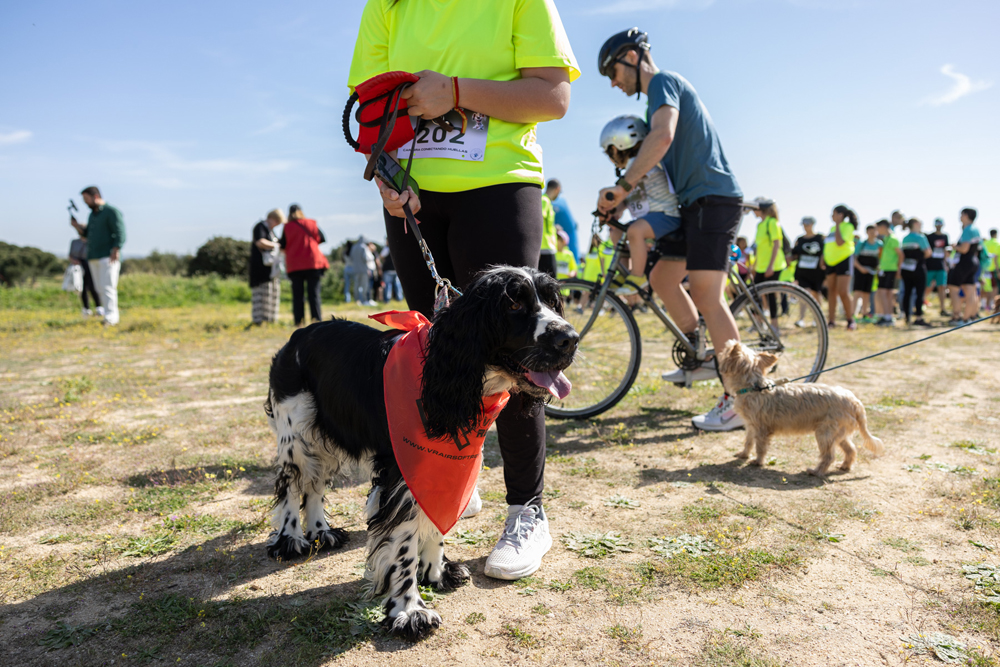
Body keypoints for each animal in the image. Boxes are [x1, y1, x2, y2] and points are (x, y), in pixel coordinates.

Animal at [720, 342, 884, 478]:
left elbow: (760, 447)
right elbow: (748, 442)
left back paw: (816, 472)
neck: (754, 387)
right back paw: (845, 466)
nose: (722, 347)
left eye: (725, 349)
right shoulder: (750, 426)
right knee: (851, 449)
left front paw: (757, 461)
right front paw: (743, 454)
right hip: (838, 433)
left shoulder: (761, 429)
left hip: (824, 433)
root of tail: (856, 402)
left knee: (829, 456)